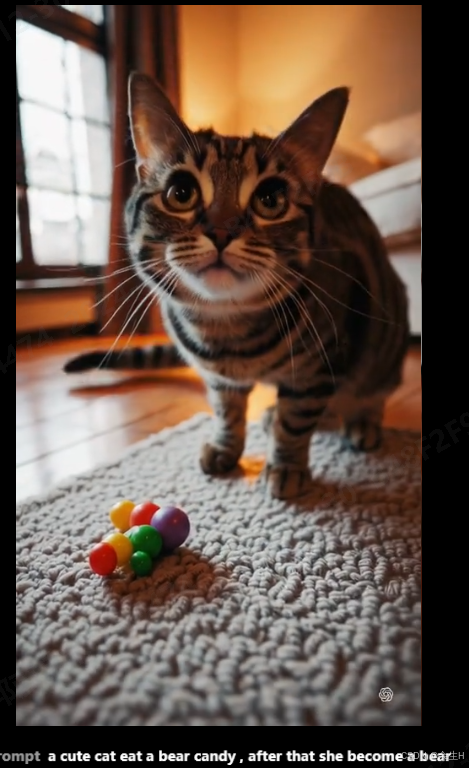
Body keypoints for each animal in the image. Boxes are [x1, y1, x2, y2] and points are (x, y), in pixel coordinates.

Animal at [64, 73, 409, 500]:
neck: (224, 328)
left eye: (270, 199)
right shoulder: (220, 379)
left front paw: (285, 466)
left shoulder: (318, 367)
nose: (221, 231)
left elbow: (296, 420)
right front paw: (226, 448)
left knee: (370, 390)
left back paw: (362, 422)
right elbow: (227, 412)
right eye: (181, 193)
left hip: (385, 337)